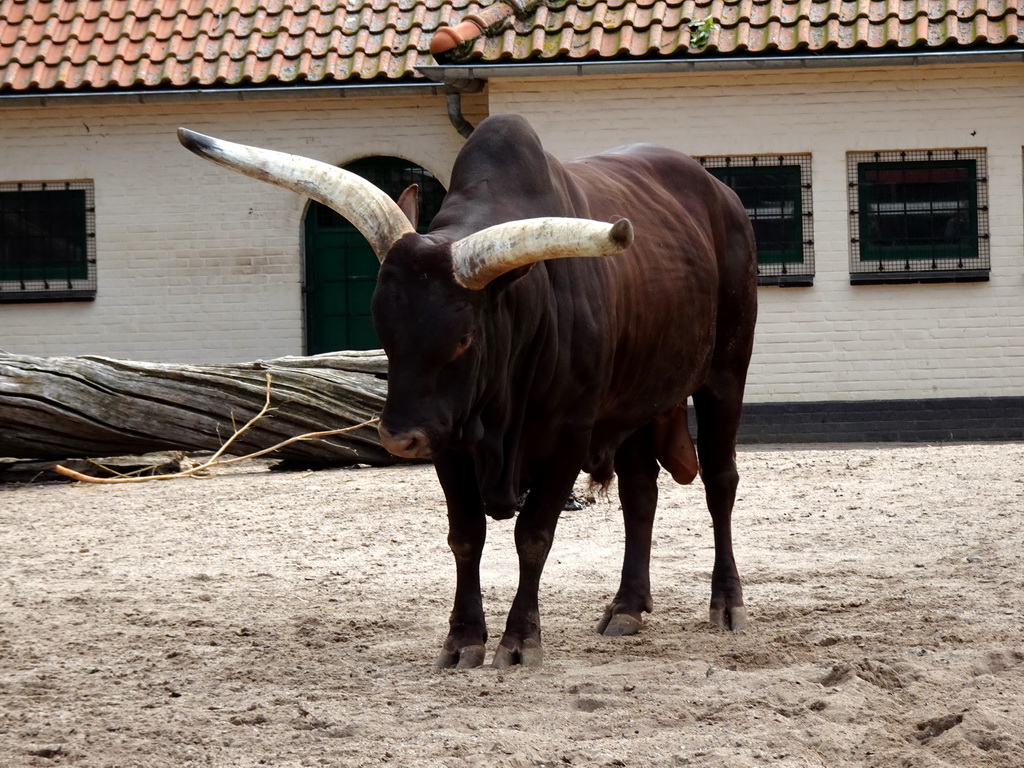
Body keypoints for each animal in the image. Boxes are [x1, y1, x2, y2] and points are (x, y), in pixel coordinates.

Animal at [176, 114, 757, 667]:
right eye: (381, 329)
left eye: (463, 339)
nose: (397, 438)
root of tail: (720, 192)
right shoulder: (448, 437)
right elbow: (466, 536)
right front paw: (462, 640)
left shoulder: (569, 433)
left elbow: (534, 535)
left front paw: (519, 641)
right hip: (635, 401)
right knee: (641, 492)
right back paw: (627, 607)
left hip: (726, 373)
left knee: (720, 482)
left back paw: (727, 603)